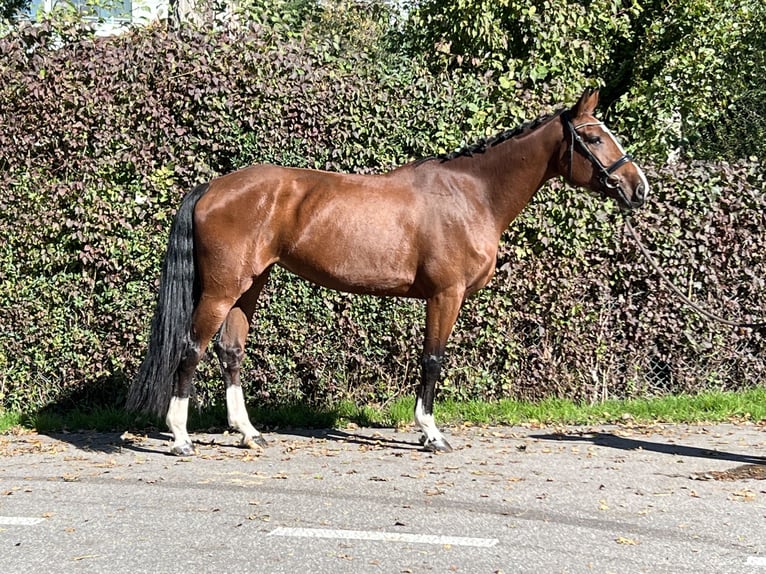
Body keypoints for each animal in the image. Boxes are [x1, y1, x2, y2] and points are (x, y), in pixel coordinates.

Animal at [126, 90, 648, 456]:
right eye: (595, 137)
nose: (638, 188)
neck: (472, 193)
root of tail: (213, 187)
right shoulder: (445, 294)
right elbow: (432, 361)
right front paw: (431, 434)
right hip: (221, 289)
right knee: (191, 348)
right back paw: (181, 437)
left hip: (250, 286)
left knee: (230, 350)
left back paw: (249, 433)